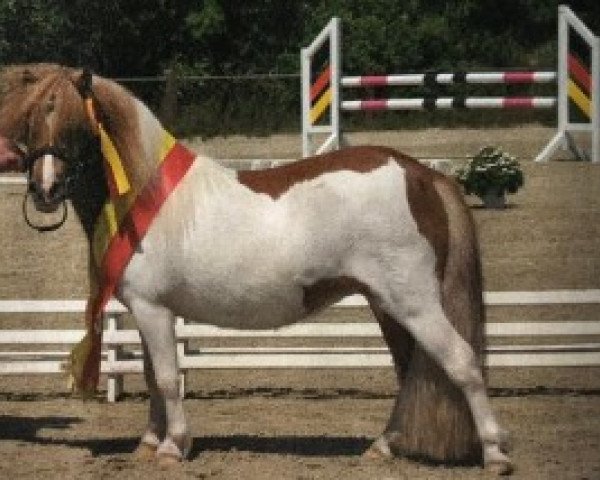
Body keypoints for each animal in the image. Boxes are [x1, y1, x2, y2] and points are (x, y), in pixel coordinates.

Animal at [0, 65, 510, 474]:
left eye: (74, 122)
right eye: (31, 120)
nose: (44, 190)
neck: (144, 196)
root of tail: (423, 174)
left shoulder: (153, 310)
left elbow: (165, 378)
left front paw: (173, 447)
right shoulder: (150, 313)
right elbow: (152, 377)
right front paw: (148, 443)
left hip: (415, 303)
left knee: (462, 362)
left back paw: (495, 455)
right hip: (387, 305)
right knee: (409, 372)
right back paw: (382, 448)